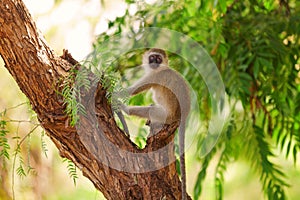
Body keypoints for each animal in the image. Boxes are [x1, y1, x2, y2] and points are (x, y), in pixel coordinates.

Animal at [121, 48, 190, 198]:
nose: (154, 62)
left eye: (158, 59)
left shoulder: (155, 76)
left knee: (152, 110)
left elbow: (131, 91)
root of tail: (183, 115)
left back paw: (126, 110)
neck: (160, 69)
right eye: (152, 57)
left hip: (166, 116)